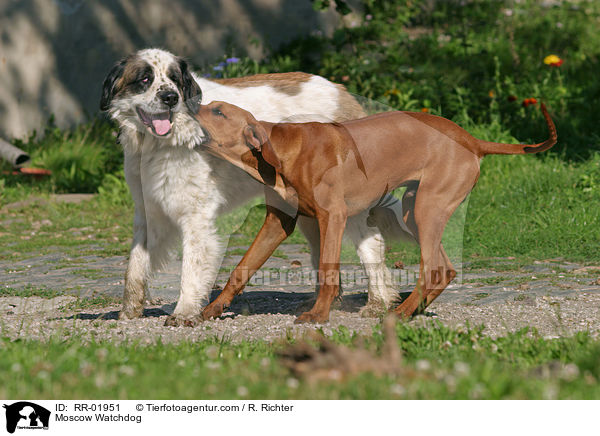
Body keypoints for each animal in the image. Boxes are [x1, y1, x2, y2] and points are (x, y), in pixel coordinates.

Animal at [101, 49, 408, 326]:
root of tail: (341, 90)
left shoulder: (197, 218)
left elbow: (191, 270)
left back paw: (377, 303)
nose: (170, 98)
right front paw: (129, 310)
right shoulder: (147, 212)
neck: (155, 143)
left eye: (175, 79)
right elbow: (135, 266)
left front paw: (185, 312)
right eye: (145, 79)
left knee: (371, 246)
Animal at [192, 100, 556, 322]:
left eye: (218, 111)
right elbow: (242, 268)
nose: (189, 99)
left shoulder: (333, 218)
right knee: (446, 269)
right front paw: (211, 309)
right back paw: (413, 310)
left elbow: (328, 272)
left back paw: (401, 312)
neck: (280, 150)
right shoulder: (277, 222)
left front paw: (319, 315)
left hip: (426, 208)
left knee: (433, 268)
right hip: (416, 211)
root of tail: (472, 141)